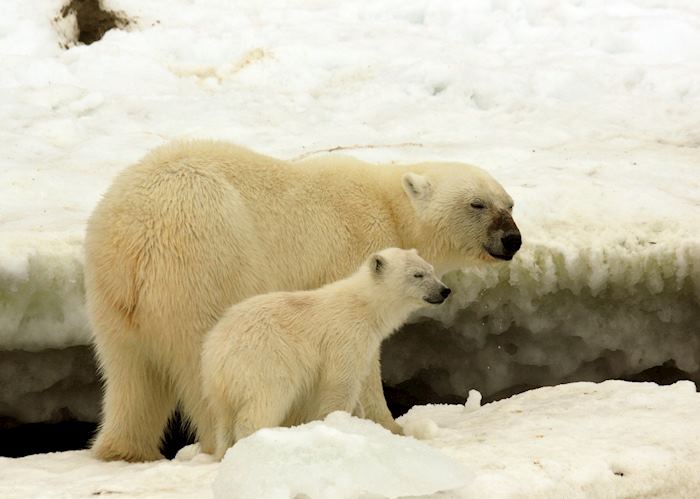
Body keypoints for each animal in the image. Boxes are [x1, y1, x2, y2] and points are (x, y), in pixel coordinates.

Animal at [201, 247, 451, 460]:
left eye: (430, 269)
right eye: (417, 274)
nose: (445, 290)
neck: (365, 307)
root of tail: (219, 347)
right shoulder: (346, 337)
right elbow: (341, 382)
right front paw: (337, 423)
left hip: (219, 384)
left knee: (223, 418)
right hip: (265, 360)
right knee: (265, 401)